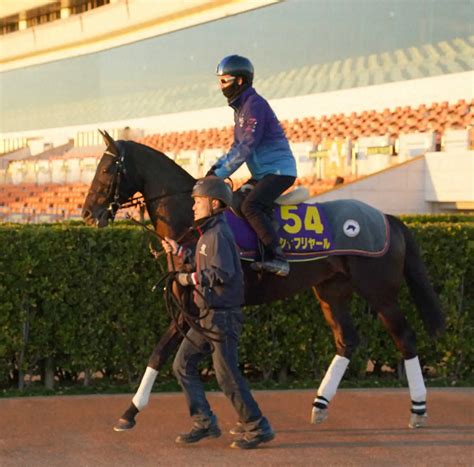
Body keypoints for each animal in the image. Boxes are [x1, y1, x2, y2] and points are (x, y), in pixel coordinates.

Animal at [80, 132, 444, 432]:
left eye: (107, 170)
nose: (87, 214)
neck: (194, 223)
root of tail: (388, 218)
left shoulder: (192, 305)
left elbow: (162, 351)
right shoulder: (187, 306)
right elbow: (160, 354)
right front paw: (130, 412)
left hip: (380, 294)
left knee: (405, 339)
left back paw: (418, 408)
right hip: (331, 292)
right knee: (347, 341)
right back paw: (320, 404)